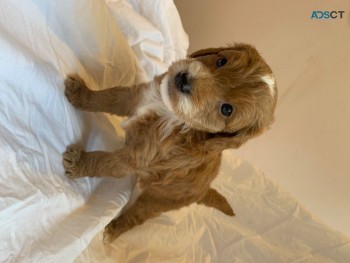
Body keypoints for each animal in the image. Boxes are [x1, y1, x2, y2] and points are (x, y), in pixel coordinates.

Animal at [62, 43, 276, 243]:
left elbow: (105, 162)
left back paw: (113, 231)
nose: (184, 80)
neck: (170, 113)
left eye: (227, 109)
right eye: (221, 61)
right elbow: (109, 96)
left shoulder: (137, 159)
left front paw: (78, 162)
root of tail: (204, 190)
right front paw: (80, 93)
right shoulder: (136, 96)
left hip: (160, 199)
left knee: (138, 215)